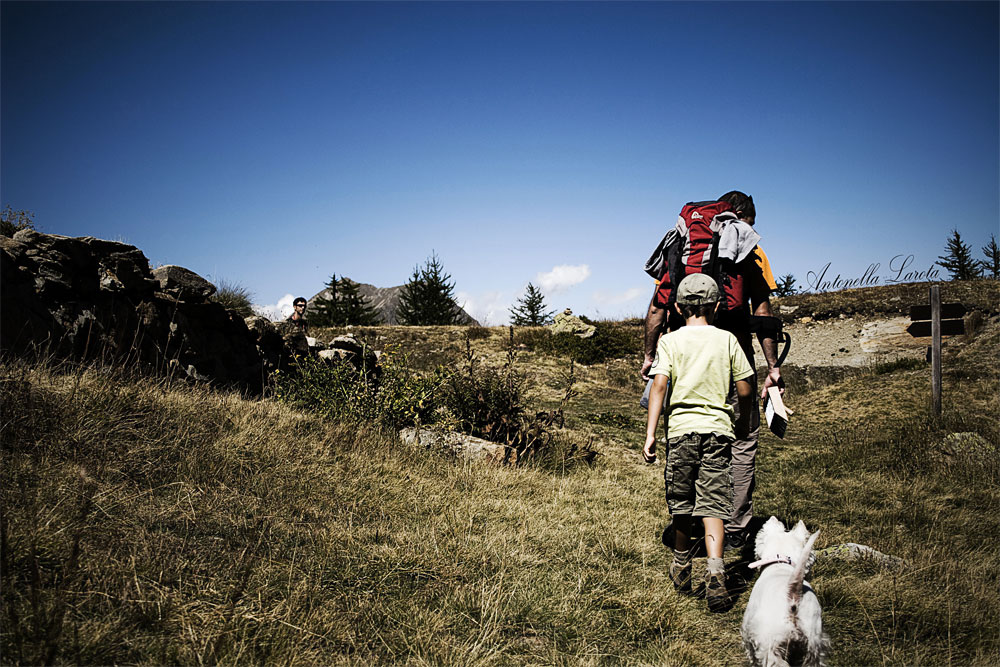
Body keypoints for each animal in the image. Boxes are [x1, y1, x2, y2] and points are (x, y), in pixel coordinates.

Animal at [744, 516, 828, 667]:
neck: (780, 564)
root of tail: (793, 597)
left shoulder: (748, 630)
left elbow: (750, 652)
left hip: (770, 643)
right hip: (813, 643)